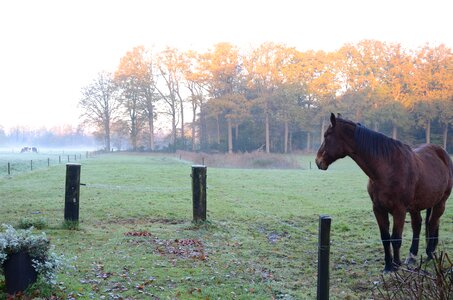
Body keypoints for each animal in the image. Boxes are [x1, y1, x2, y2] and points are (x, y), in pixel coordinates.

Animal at [314, 113, 452, 272]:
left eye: (327, 135)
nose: (318, 160)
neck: (387, 168)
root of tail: (442, 153)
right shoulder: (378, 208)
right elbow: (385, 238)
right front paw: (388, 266)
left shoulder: (399, 210)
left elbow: (396, 238)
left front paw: (396, 265)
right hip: (416, 207)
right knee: (418, 225)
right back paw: (412, 256)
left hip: (440, 202)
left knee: (432, 223)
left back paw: (430, 254)